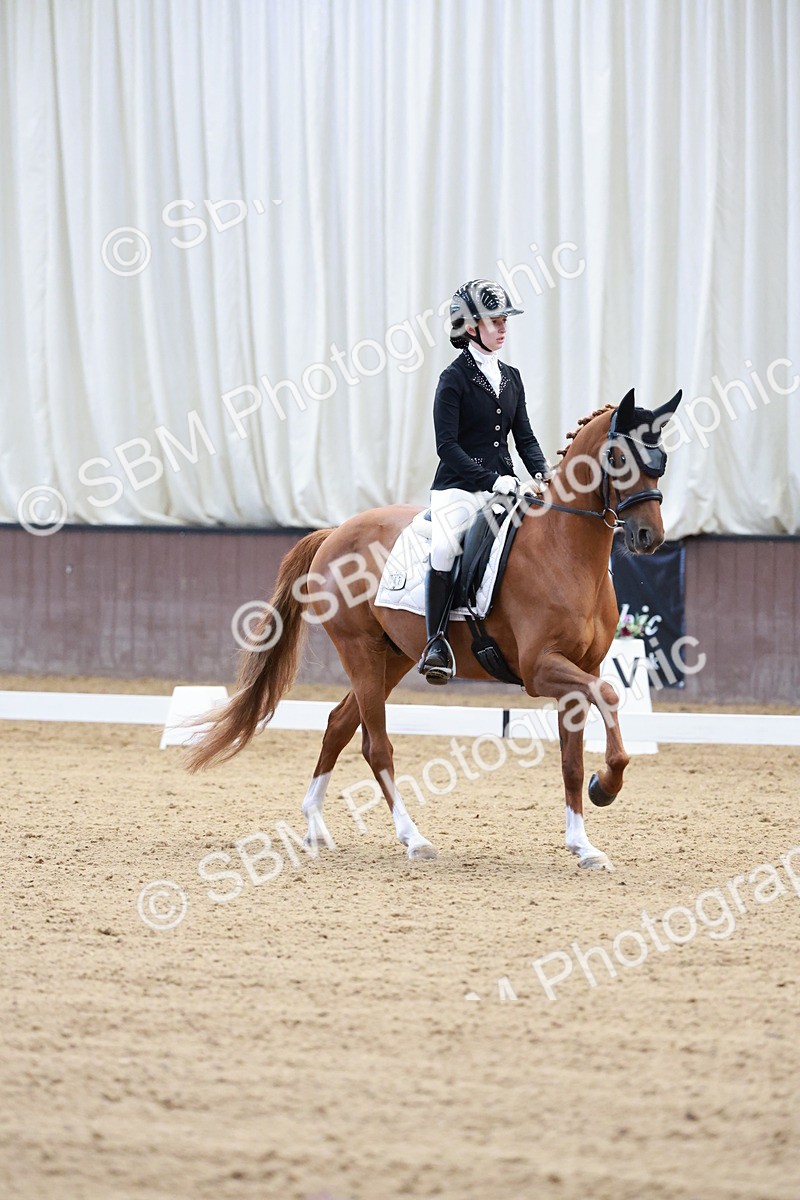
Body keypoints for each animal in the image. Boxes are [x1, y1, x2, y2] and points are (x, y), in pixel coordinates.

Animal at [185, 387, 683, 872]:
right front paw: (607, 785)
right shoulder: (541, 670)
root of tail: (334, 533)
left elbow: (572, 761)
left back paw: (315, 827)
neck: (565, 548)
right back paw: (414, 839)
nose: (648, 537)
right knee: (376, 746)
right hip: (359, 650)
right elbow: (612, 695)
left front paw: (584, 844)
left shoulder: (582, 670)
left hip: (394, 656)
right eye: (619, 458)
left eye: (660, 460)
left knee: (339, 725)